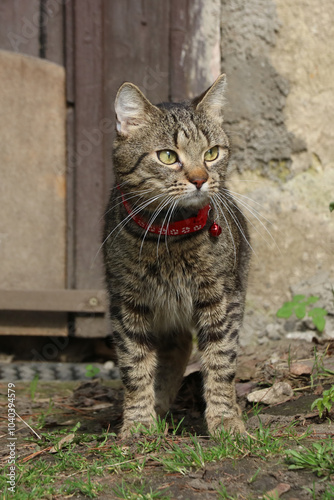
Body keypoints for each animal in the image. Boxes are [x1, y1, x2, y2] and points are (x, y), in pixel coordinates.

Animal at [104, 75, 250, 438]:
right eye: (168, 156)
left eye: (212, 153)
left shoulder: (221, 300)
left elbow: (221, 361)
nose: (200, 179)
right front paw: (138, 424)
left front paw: (226, 420)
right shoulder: (127, 304)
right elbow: (134, 366)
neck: (171, 237)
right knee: (176, 347)